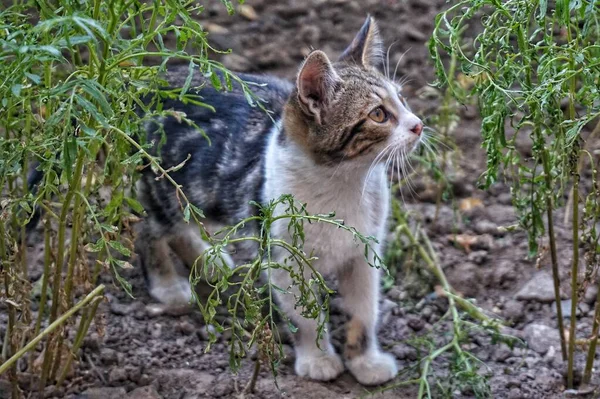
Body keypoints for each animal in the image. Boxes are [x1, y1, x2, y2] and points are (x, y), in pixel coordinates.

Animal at [138, 17, 424, 386]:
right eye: (378, 114)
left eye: (401, 99)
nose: (418, 124)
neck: (343, 182)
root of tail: (153, 81)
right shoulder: (283, 255)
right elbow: (305, 316)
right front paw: (318, 358)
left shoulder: (364, 251)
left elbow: (364, 310)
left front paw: (365, 360)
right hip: (163, 183)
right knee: (152, 226)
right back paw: (167, 285)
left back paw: (212, 264)